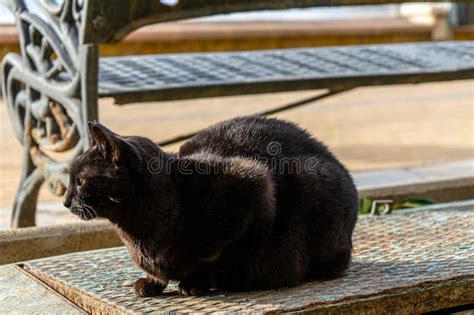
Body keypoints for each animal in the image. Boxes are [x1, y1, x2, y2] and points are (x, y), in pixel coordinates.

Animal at [65, 117, 358, 298]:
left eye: (80, 181)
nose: (65, 201)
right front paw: (152, 281)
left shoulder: (252, 183)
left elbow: (215, 253)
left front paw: (196, 282)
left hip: (311, 182)